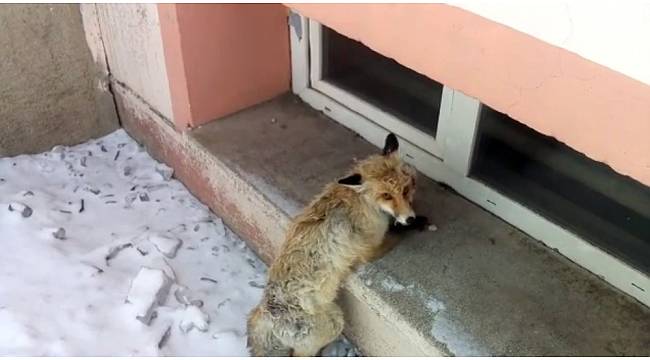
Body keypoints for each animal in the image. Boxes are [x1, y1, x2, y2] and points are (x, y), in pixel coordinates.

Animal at [246, 133, 428, 358]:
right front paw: (416, 224)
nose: (410, 218)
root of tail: (265, 310)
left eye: (405, 189)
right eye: (386, 195)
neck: (362, 202)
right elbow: (396, 235)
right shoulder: (370, 248)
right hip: (334, 322)